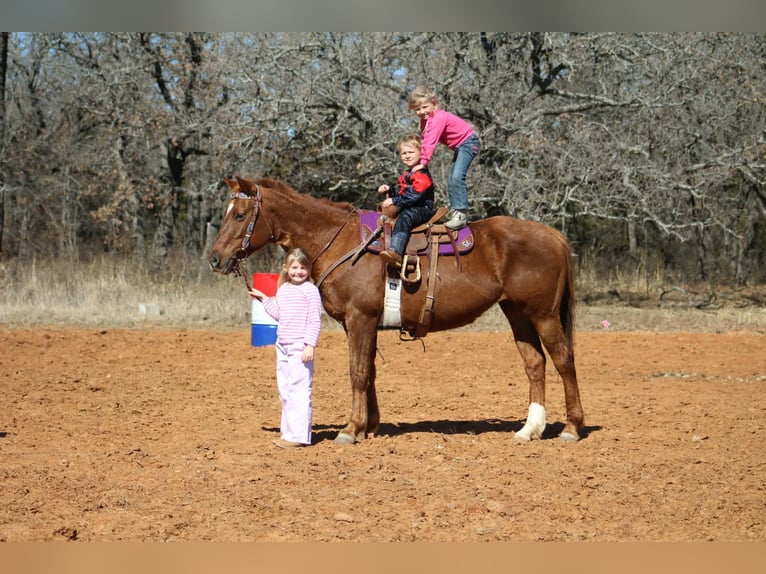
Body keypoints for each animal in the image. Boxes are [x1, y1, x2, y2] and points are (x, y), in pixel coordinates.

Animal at [208, 176, 584, 444]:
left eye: (239, 215)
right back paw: (529, 430)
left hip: (544, 315)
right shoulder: (363, 323)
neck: (341, 241)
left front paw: (350, 429)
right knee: (535, 364)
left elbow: (358, 372)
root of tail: (553, 235)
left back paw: (571, 427)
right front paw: (369, 426)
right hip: (517, 313)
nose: (215, 259)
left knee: (563, 361)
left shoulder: (360, 319)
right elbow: (370, 371)